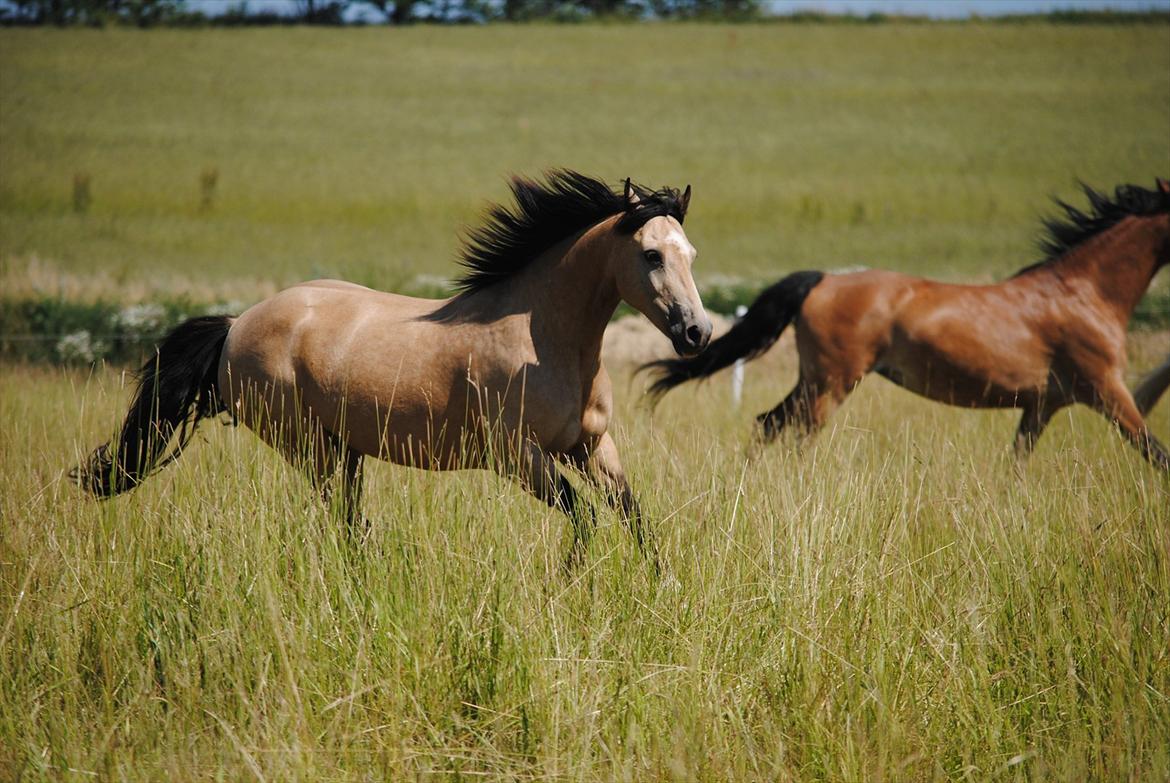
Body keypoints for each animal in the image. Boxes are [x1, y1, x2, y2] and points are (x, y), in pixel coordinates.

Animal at [77, 170, 711, 564]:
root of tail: (237, 325)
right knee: (340, 520)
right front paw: (571, 585)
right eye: (651, 255)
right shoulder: (517, 457)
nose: (697, 333)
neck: (546, 340)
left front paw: (658, 591)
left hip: (346, 450)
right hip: (310, 447)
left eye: (690, 254)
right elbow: (585, 520)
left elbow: (634, 518)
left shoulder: (591, 447)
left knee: (349, 523)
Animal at [645, 179, 1170, 470]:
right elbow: (1157, 453)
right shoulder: (1106, 389)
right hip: (832, 383)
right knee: (792, 433)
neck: (1085, 291)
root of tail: (824, 279)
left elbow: (1018, 461)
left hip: (816, 380)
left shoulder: (1043, 404)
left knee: (769, 424)